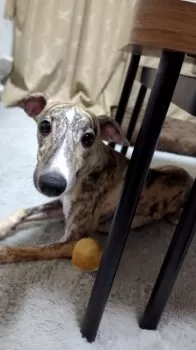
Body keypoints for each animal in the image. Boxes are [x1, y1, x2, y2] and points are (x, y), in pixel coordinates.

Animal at [0, 93, 191, 262]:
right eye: (44, 126)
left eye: (88, 138)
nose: (52, 184)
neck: (88, 171)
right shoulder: (62, 205)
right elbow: (22, 211)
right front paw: (3, 227)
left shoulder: (72, 241)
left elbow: (26, 249)